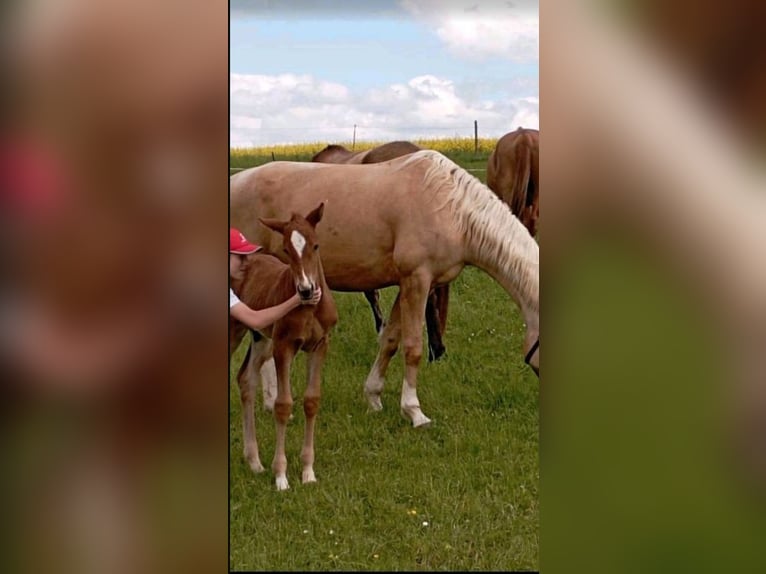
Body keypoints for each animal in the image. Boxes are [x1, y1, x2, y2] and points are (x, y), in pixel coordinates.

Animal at [230, 205, 340, 492]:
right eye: (286, 250)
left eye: (316, 245)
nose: (306, 290)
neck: (309, 309)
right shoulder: (284, 346)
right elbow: (283, 404)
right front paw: (281, 476)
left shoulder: (320, 345)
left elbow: (311, 401)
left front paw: (308, 472)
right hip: (238, 331)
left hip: (261, 337)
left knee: (246, 379)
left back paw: (254, 461)